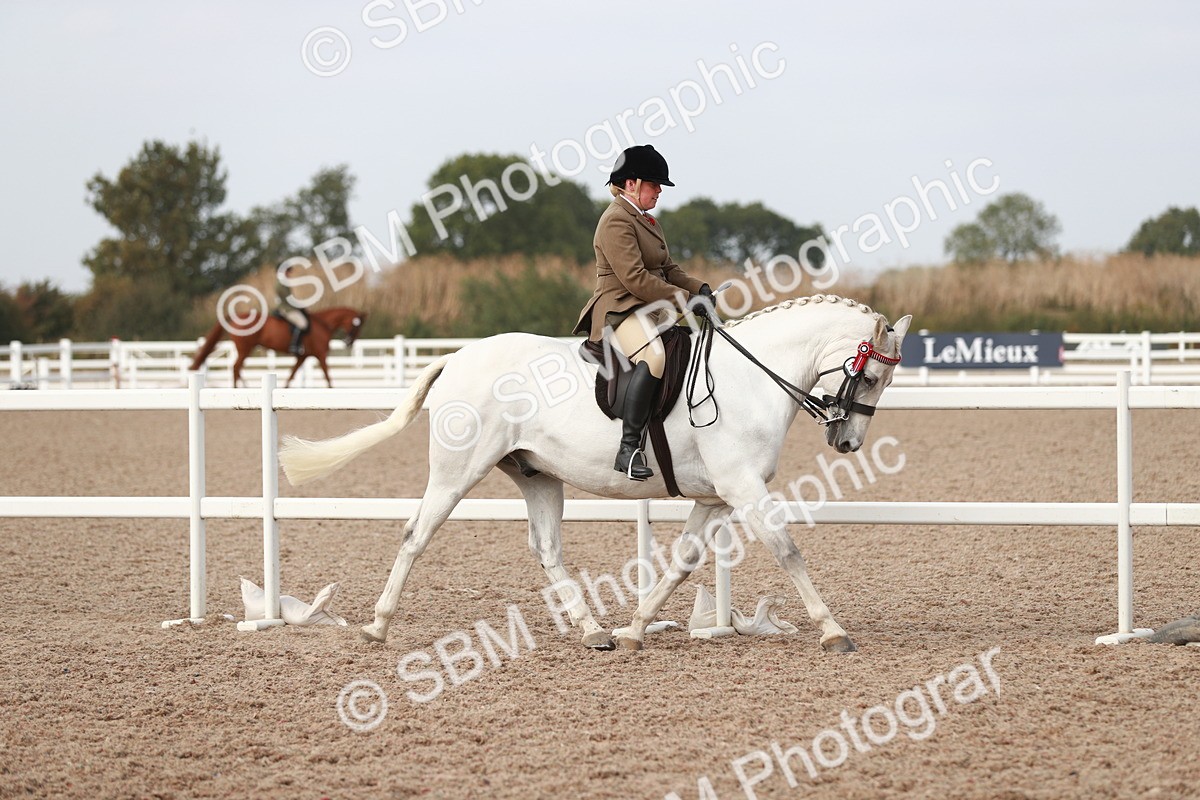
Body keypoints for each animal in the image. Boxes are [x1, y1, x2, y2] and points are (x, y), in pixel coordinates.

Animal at [190, 306, 367, 387]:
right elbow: (328, 376)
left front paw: (284, 389)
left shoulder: (303, 356)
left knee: (237, 368)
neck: (322, 324)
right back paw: (237, 389)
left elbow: (291, 374)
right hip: (245, 348)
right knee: (235, 367)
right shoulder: (320, 354)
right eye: (357, 326)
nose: (349, 342)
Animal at [279, 294, 911, 652]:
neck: (751, 378)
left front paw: (635, 630)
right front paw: (833, 631)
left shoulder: (717, 497)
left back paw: (594, 632)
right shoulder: (742, 487)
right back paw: (377, 627)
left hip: (536, 476)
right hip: (458, 471)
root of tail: (457, 356)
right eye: (871, 376)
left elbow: (681, 563)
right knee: (416, 535)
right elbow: (787, 551)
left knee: (547, 550)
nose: (847, 442)